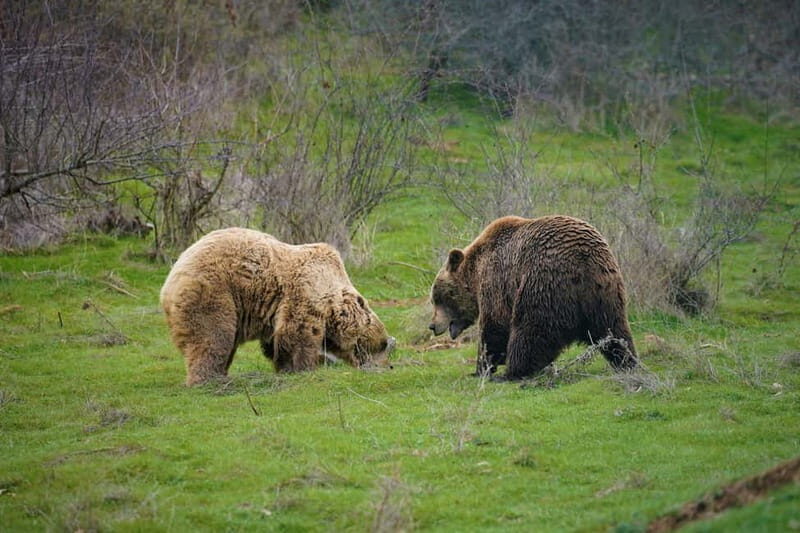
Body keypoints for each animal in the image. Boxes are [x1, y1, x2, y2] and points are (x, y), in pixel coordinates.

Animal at [160, 228, 395, 385]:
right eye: (382, 344)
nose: (389, 366)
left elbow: (277, 342)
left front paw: (286, 367)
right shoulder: (304, 292)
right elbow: (298, 334)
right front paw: (305, 368)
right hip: (214, 291)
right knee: (213, 337)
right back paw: (211, 379)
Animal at [429, 215, 637, 381]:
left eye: (438, 298)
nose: (432, 325)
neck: (476, 273)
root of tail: (584, 262)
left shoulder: (496, 281)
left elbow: (494, 326)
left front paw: (482, 368)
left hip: (543, 284)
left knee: (529, 330)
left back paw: (514, 372)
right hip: (606, 292)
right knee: (614, 330)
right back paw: (627, 361)